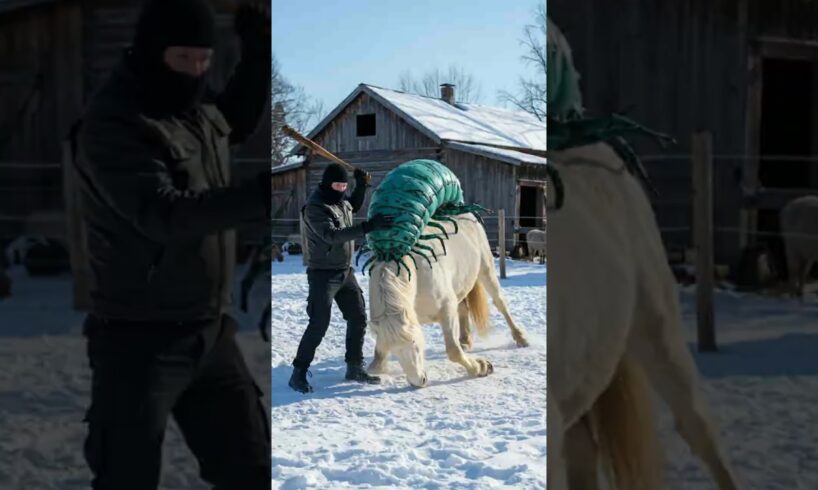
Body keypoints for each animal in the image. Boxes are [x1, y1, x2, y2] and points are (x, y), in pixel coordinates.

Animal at [366, 214, 530, 387]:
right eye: (394, 351)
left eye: (415, 343)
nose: (420, 381)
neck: (417, 276)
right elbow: (378, 359)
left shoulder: (446, 311)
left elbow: (453, 351)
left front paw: (481, 367)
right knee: (463, 308)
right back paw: (465, 341)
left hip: (486, 270)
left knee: (500, 303)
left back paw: (520, 338)